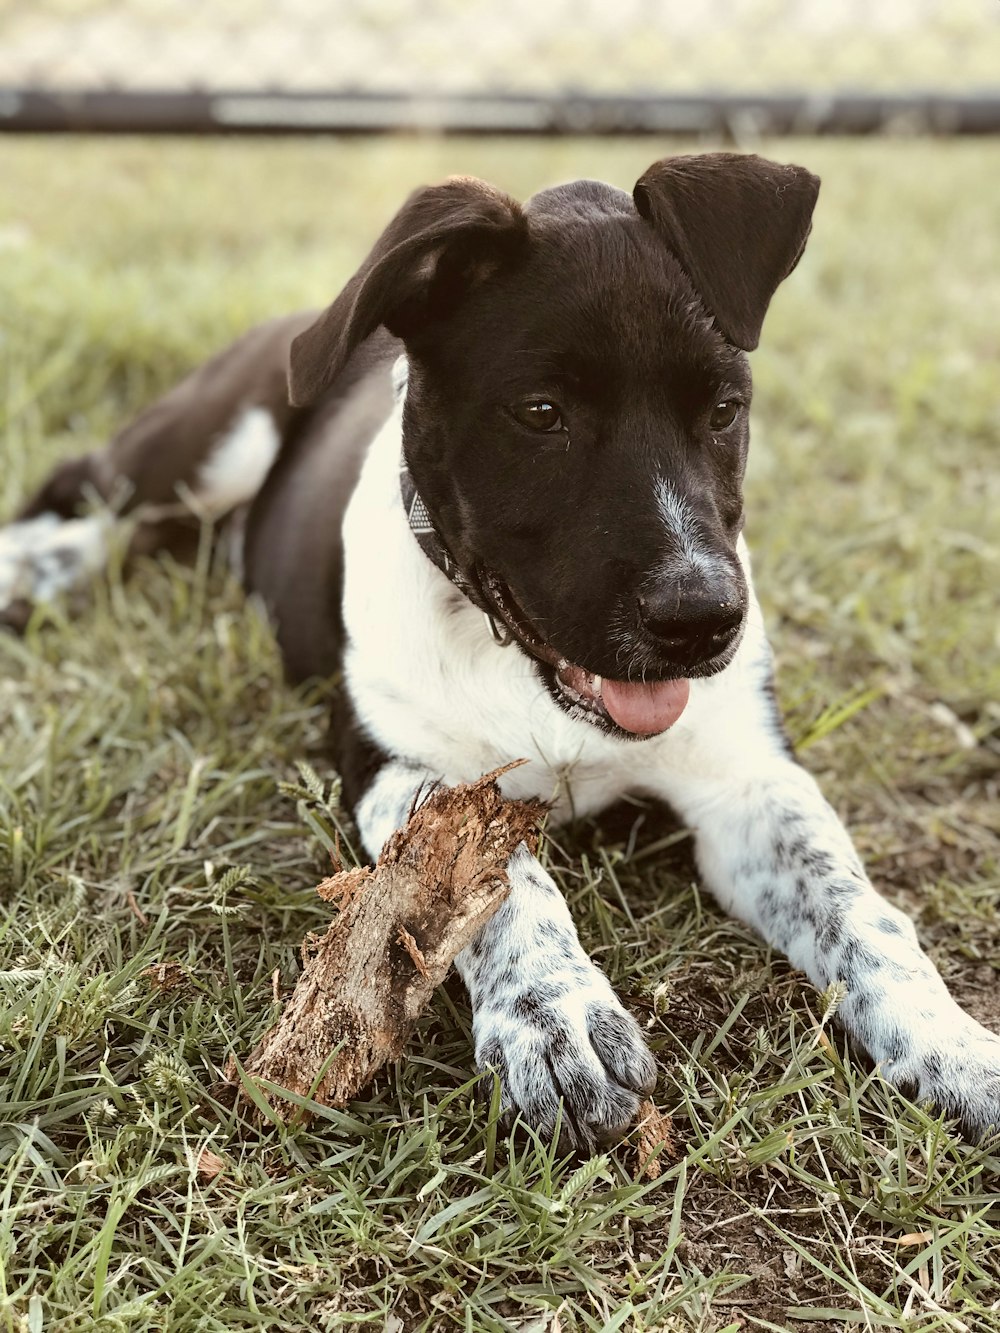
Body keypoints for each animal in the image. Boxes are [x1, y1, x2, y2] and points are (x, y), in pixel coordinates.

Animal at [3, 153, 997, 1157]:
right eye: (541, 413)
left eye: (724, 409)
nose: (701, 620)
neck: (526, 670)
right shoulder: (401, 768)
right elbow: (497, 885)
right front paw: (554, 1021)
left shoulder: (751, 778)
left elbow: (858, 909)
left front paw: (954, 1044)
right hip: (213, 438)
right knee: (102, 503)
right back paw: (32, 569)